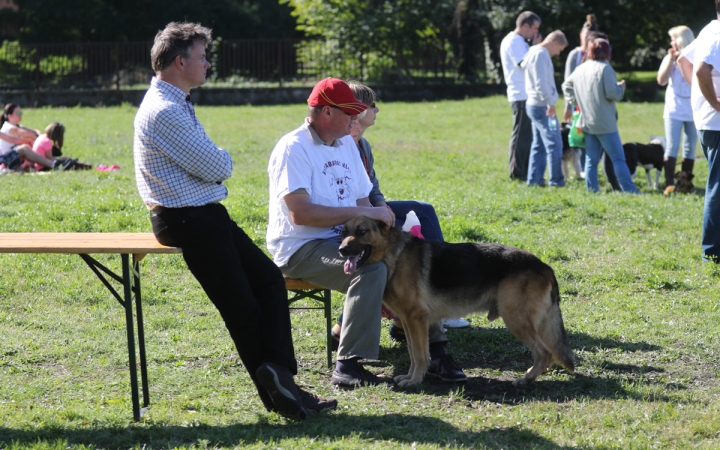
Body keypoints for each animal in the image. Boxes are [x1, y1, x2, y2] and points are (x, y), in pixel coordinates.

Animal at [340, 215, 576, 386]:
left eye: (362, 231)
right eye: (343, 233)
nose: (341, 250)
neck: (393, 253)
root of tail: (545, 266)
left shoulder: (416, 319)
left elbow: (420, 354)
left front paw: (415, 380)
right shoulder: (408, 321)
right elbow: (414, 353)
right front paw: (411, 377)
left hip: (515, 320)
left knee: (544, 352)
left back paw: (527, 379)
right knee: (547, 353)